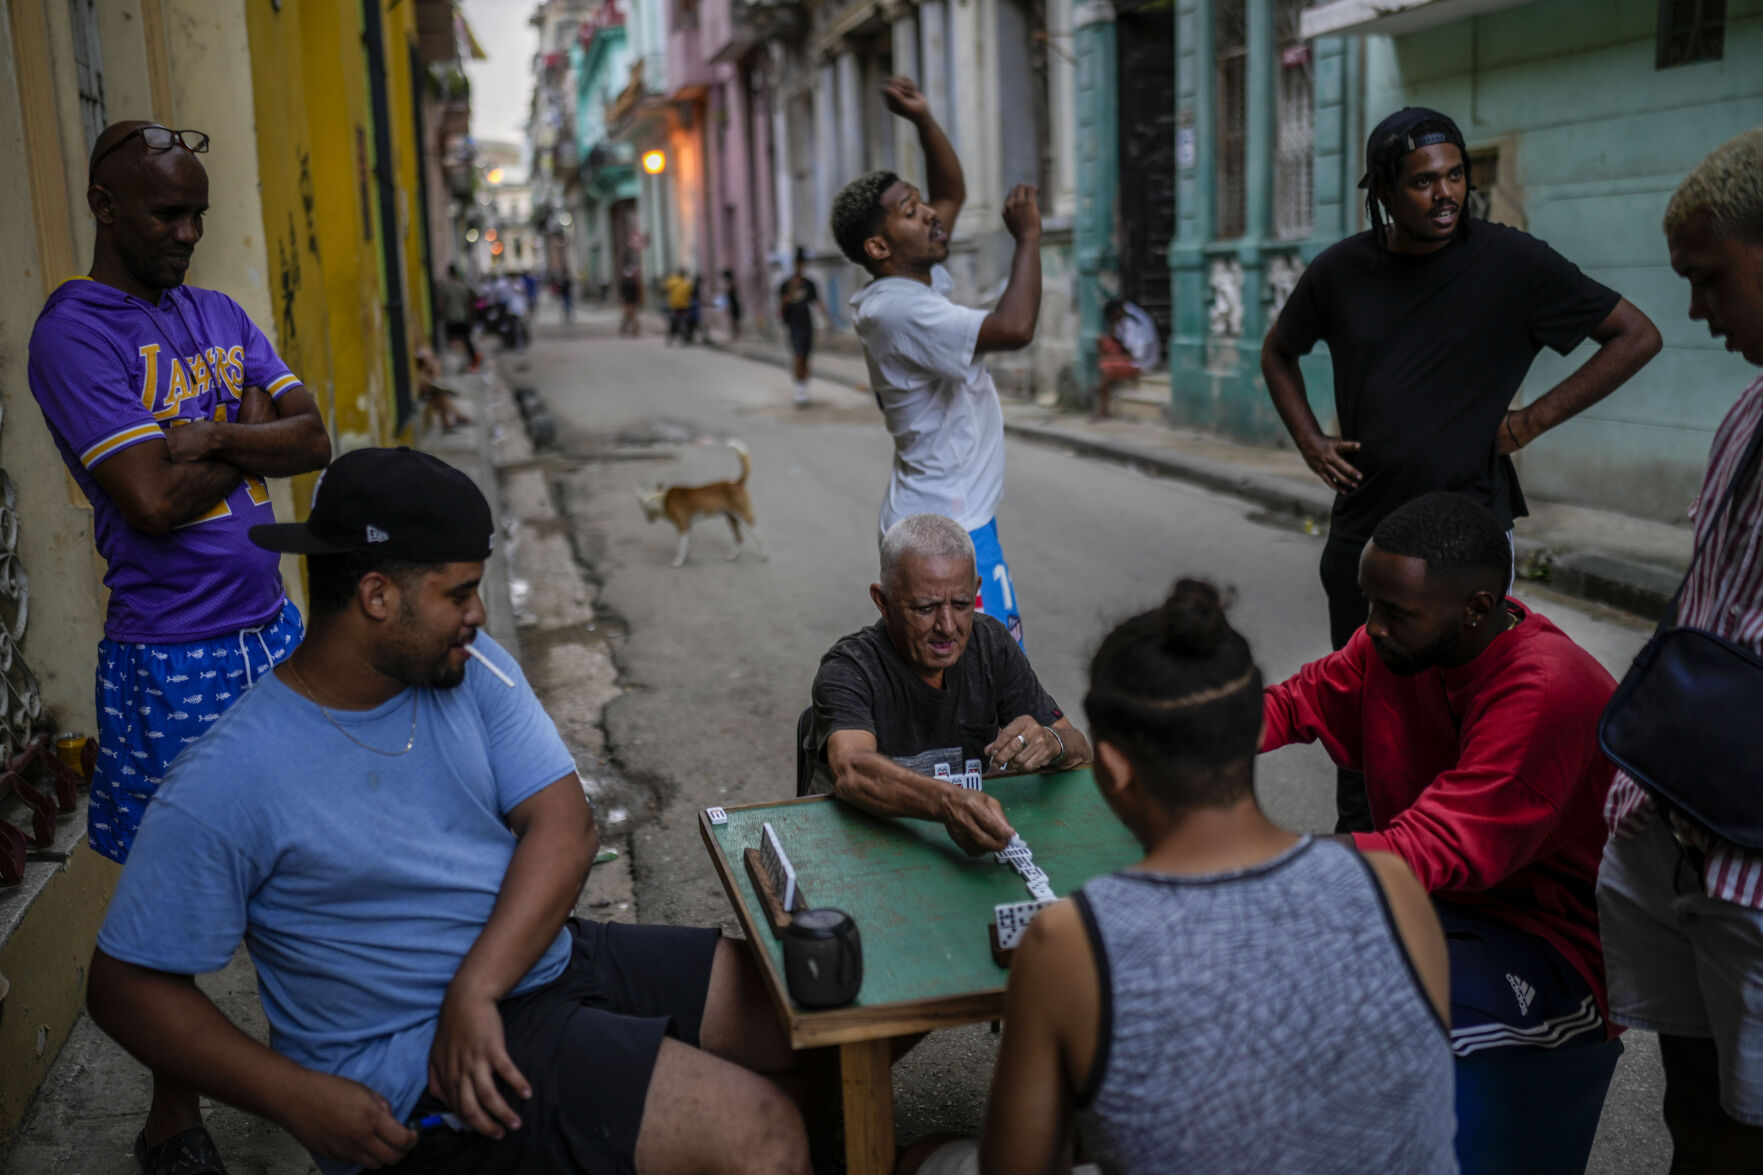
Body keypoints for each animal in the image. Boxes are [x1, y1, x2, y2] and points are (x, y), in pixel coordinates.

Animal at [638, 439, 768, 568]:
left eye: (643, 509)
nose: (647, 521)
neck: (663, 499)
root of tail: (736, 483)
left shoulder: (682, 527)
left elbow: (681, 548)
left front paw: (678, 562)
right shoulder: (688, 526)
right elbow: (687, 545)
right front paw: (687, 558)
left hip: (744, 517)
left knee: (760, 537)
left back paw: (765, 556)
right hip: (731, 519)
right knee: (739, 538)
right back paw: (733, 556)